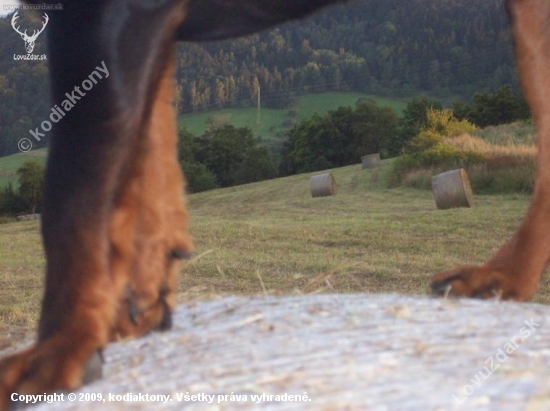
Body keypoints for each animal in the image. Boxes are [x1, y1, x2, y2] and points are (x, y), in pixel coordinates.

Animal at [0, 0, 548, 408]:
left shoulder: (105, 14)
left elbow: (73, 198)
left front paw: (59, 351)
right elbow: (147, 172)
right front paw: (135, 311)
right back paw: (504, 280)